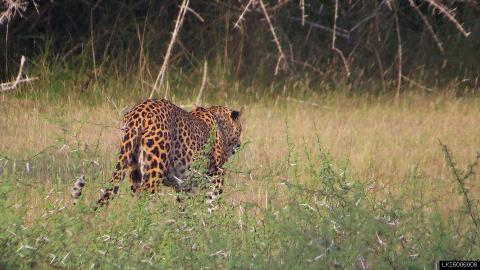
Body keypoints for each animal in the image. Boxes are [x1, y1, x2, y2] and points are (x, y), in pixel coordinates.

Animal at [95, 98, 242, 211]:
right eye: (241, 129)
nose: (239, 144)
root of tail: (138, 111)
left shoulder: (185, 186)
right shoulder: (216, 174)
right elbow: (212, 202)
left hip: (133, 168)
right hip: (154, 169)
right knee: (146, 199)